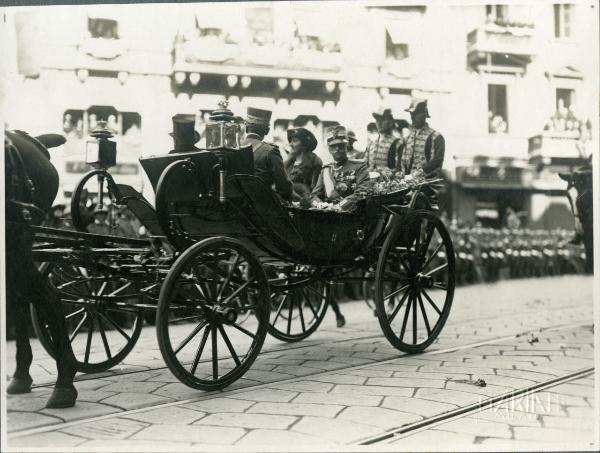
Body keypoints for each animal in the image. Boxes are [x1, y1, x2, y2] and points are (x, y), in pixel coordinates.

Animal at [4, 129, 78, 408]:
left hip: (17, 240)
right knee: (23, 298)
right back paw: (22, 375)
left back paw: (64, 383)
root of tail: (34, 142)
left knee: (49, 297)